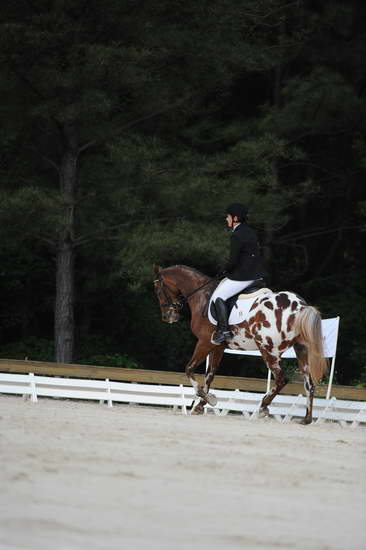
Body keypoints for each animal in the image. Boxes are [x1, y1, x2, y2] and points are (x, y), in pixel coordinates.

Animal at [153, 266, 328, 424]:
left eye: (158, 291)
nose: (167, 317)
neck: (201, 295)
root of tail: (301, 306)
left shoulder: (204, 342)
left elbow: (189, 369)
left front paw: (206, 397)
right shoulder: (218, 346)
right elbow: (210, 375)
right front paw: (201, 405)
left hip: (268, 351)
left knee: (281, 379)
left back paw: (263, 407)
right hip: (301, 350)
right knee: (309, 384)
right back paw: (306, 418)